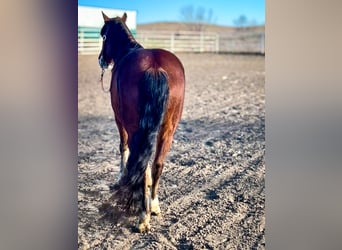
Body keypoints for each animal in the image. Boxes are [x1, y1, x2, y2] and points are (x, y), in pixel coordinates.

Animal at [97, 12, 186, 232]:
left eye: (103, 35)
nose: (101, 60)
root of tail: (154, 67)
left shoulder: (119, 119)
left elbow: (123, 147)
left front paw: (120, 178)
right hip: (168, 129)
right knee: (157, 164)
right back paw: (153, 205)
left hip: (135, 127)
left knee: (143, 167)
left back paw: (143, 215)